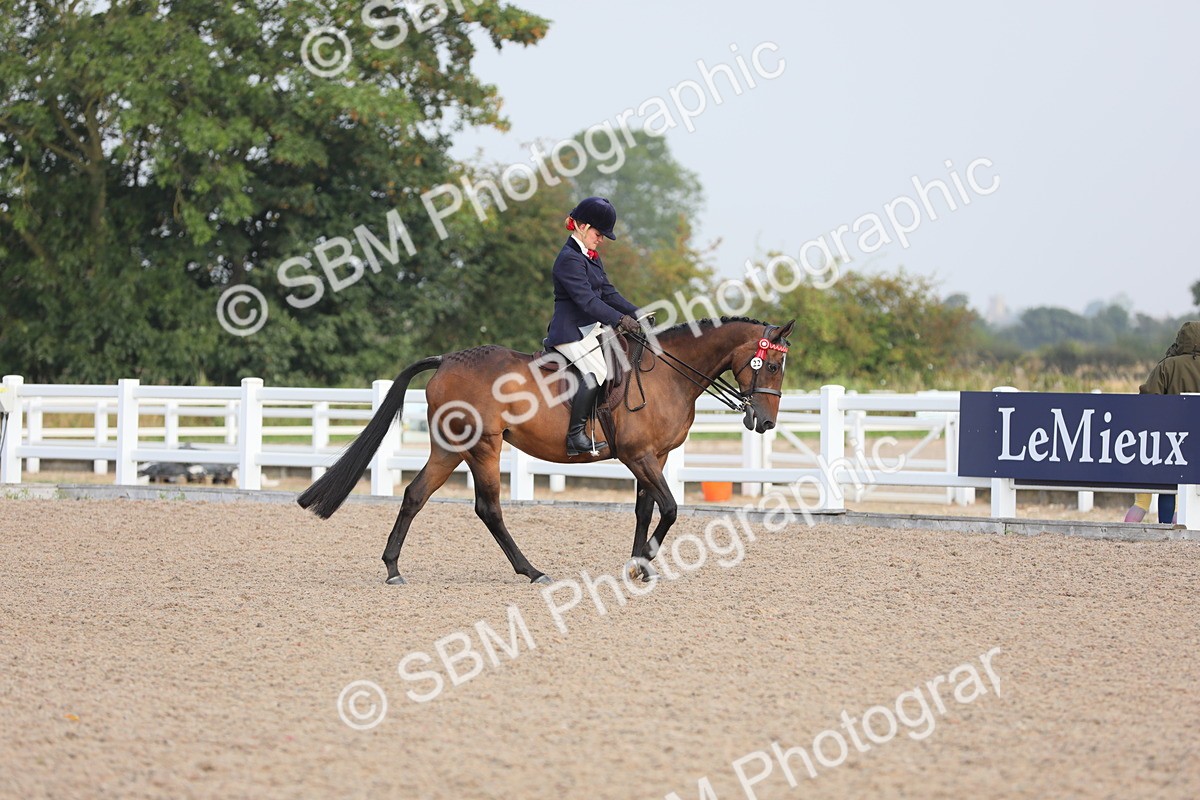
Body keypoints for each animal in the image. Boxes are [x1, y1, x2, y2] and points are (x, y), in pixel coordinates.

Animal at [297, 316, 795, 585]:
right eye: (771, 365)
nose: (765, 422)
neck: (666, 374)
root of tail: (448, 359)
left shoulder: (656, 457)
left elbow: (645, 509)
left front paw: (639, 566)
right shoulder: (639, 456)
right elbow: (670, 508)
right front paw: (645, 562)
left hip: (450, 448)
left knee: (415, 495)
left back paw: (393, 568)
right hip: (483, 446)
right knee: (488, 508)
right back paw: (531, 571)